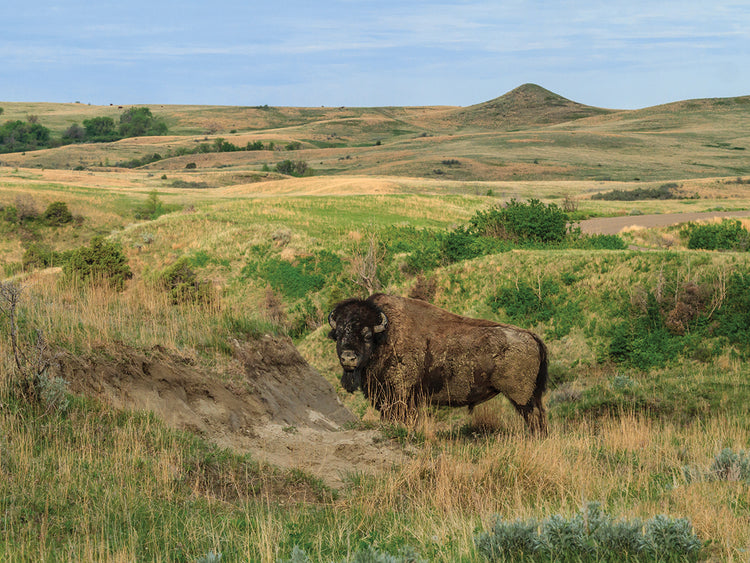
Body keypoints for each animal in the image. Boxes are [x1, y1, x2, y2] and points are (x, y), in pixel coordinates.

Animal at [328, 293, 548, 435]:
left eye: (366, 335)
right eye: (338, 334)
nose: (348, 358)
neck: (384, 336)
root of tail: (531, 336)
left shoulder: (400, 395)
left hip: (522, 397)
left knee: (534, 419)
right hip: (531, 396)